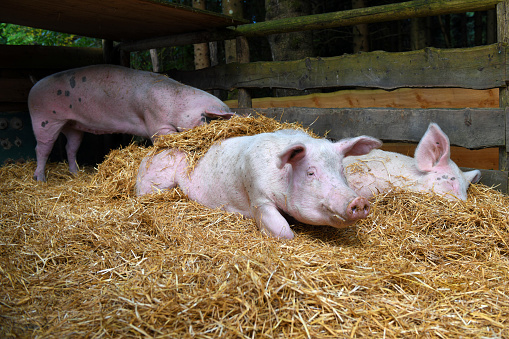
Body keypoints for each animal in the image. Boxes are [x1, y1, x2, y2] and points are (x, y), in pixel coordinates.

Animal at [28, 63, 233, 181]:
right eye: (205, 118)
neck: (178, 104)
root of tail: (34, 85)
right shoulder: (155, 120)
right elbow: (163, 138)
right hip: (44, 118)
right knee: (41, 148)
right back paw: (40, 179)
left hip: (71, 125)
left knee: (71, 147)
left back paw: (75, 174)